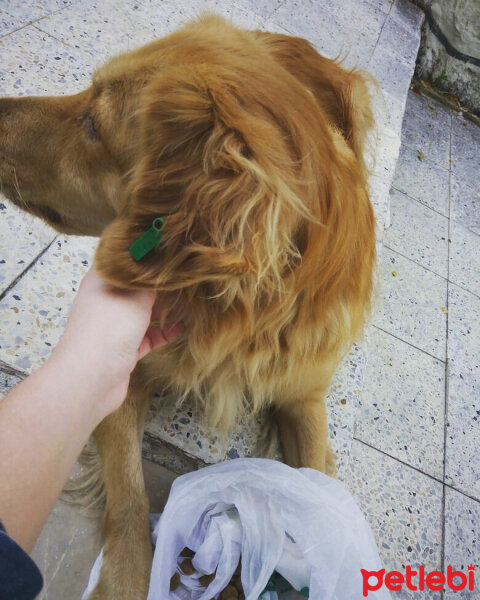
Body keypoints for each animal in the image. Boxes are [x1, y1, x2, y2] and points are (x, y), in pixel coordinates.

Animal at [0, 16, 376, 596]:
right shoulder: (121, 369)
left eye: (93, 124)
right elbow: (129, 495)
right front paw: (127, 578)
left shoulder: (305, 395)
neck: (240, 314)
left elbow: (315, 479)